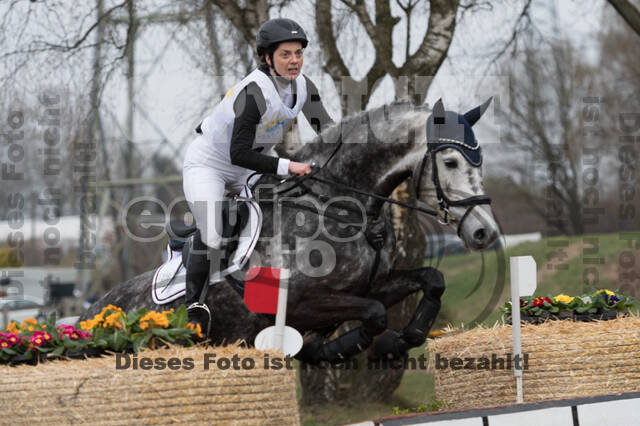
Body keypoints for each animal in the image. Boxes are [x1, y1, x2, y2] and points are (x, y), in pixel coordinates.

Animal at [80, 98, 500, 364]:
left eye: (481, 161)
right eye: (450, 161)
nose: (486, 233)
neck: (338, 205)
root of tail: (91, 314)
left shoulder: (367, 286)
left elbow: (431, 280)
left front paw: (403, 340)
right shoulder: (300, 303)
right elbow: (375, 314)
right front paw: (333, 349)